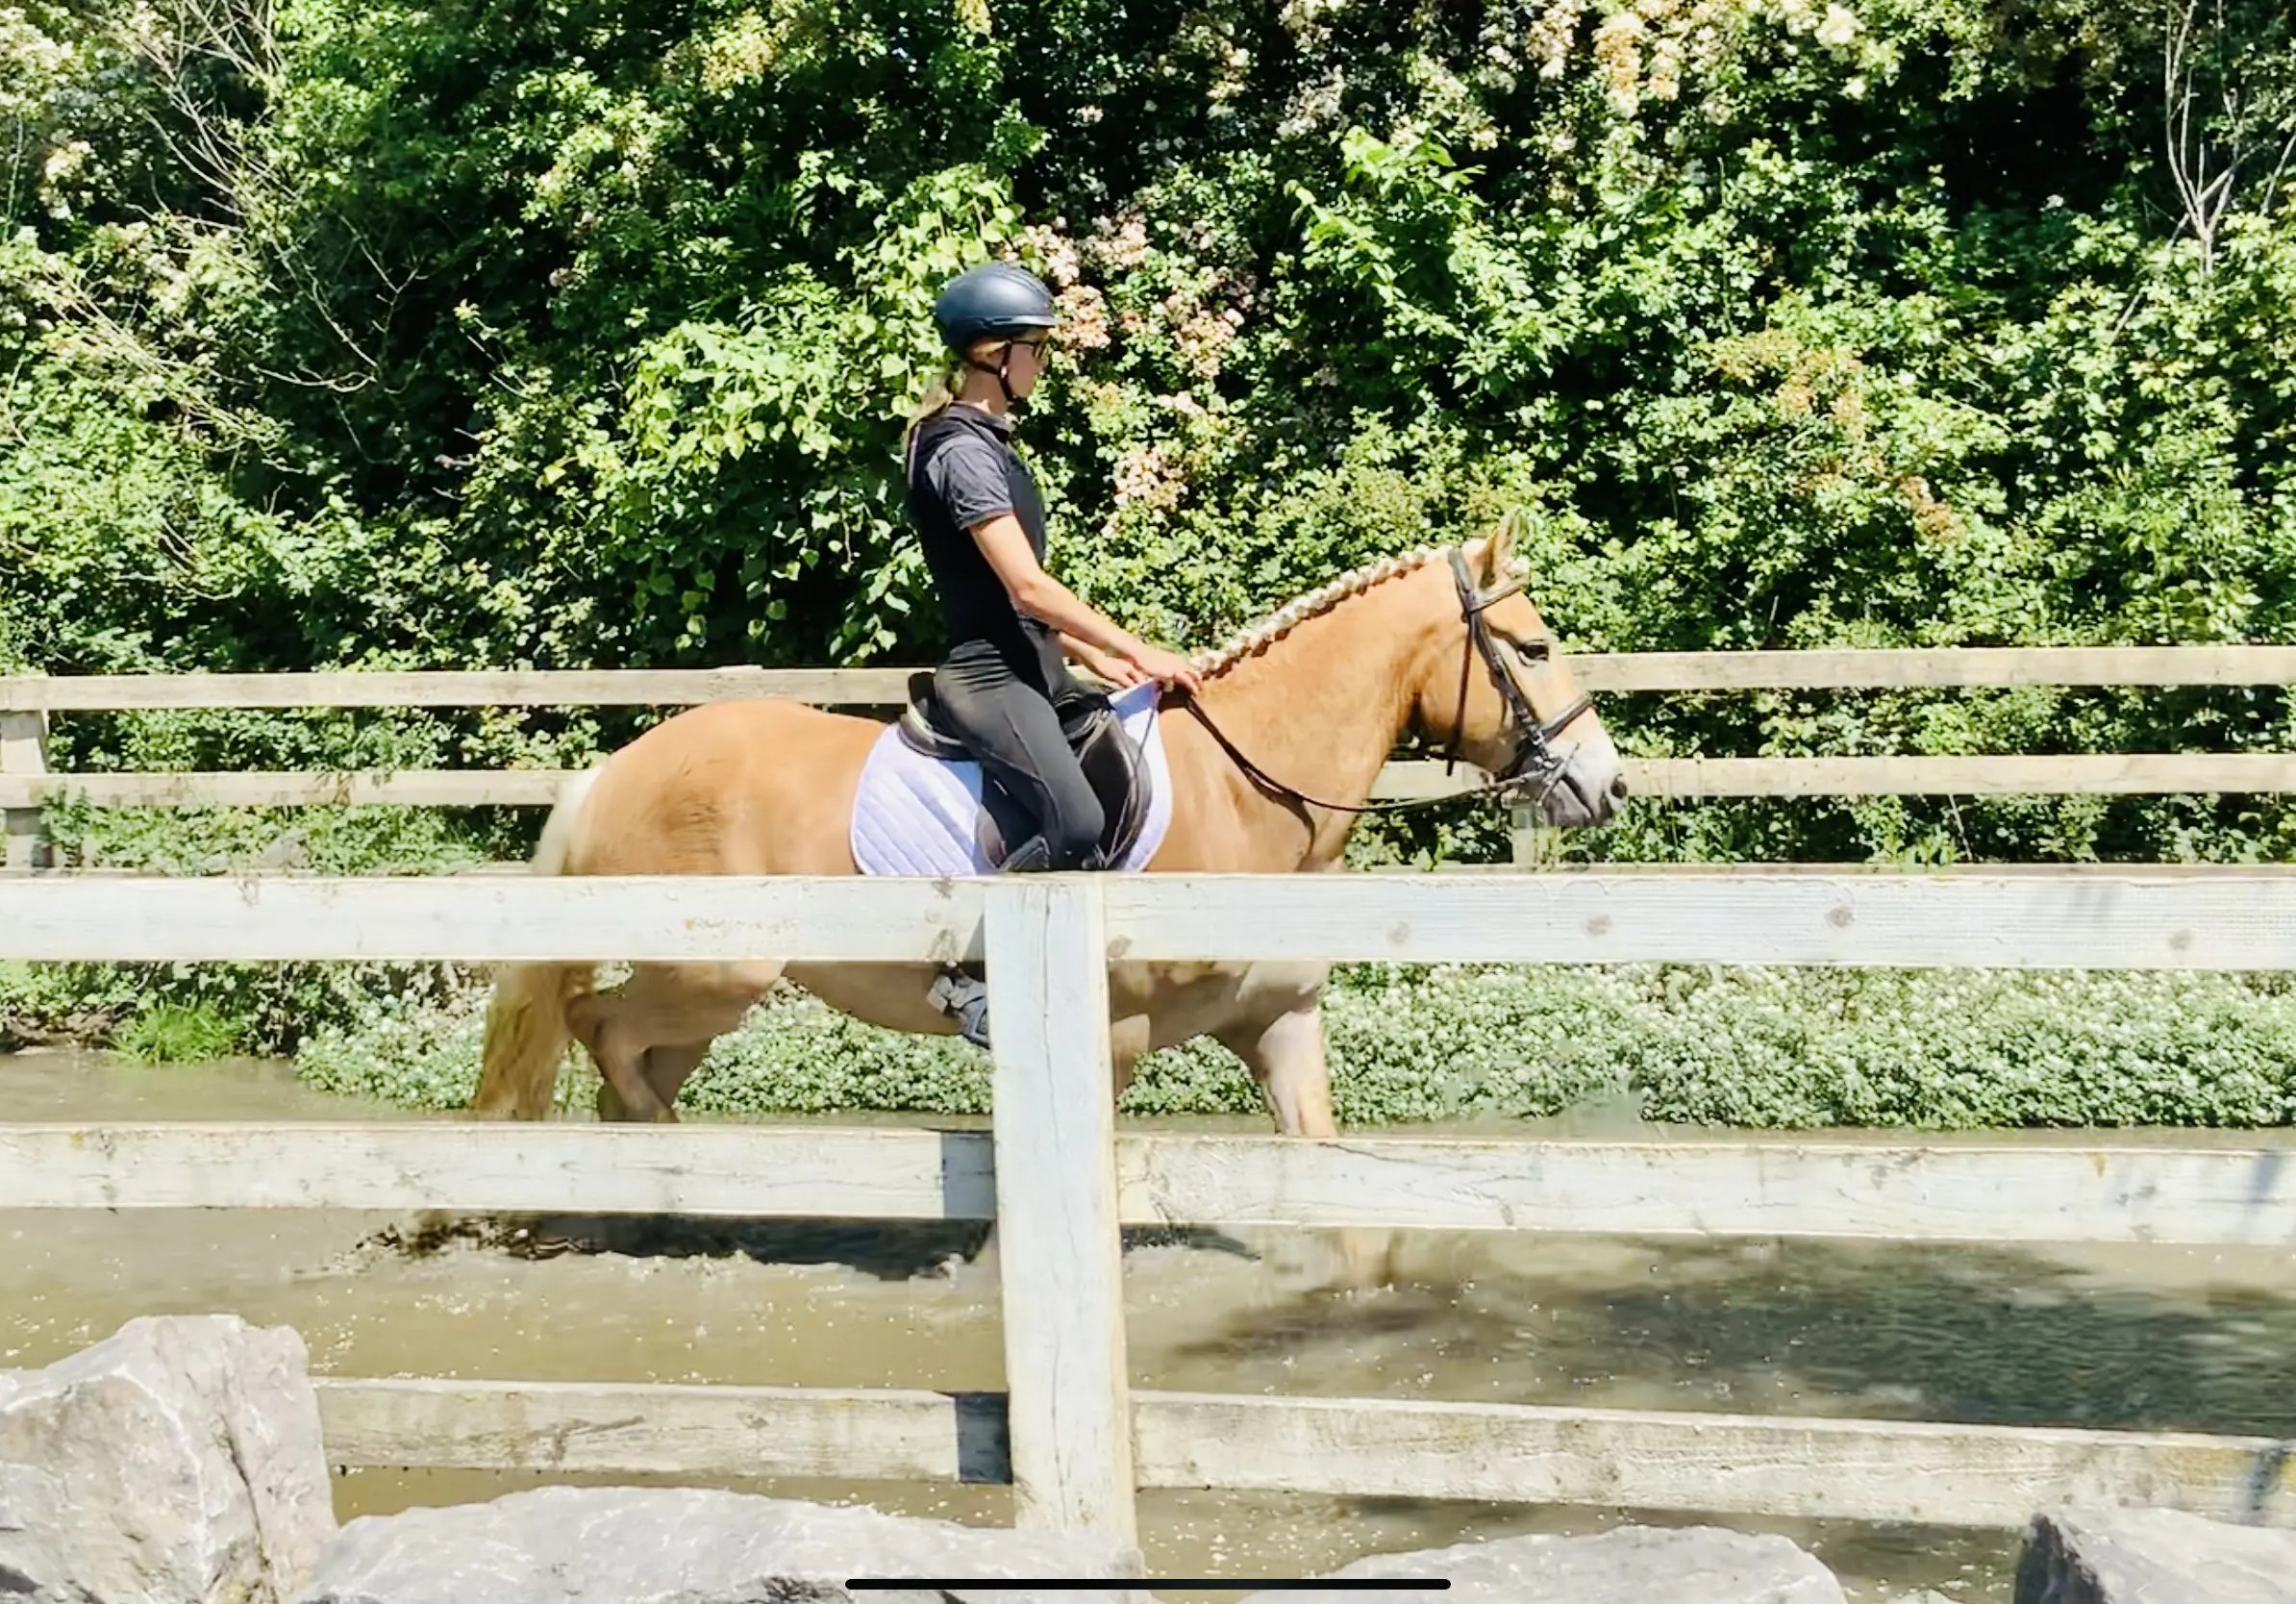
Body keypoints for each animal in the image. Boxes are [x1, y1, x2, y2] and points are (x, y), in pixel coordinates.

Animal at [471, 525, 1626, 1160]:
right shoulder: (1109, 1039)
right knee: (603, 1033)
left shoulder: (1280, 1022)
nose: (1606, 784)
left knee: (627, 1067)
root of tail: (613, 769)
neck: (1247, 786)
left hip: (706, 1002)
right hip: (717, 973)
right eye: (1533, 648)